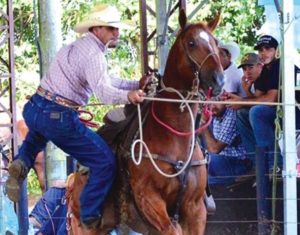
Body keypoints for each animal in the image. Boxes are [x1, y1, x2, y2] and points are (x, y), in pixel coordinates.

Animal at [66, 9, 225, 235]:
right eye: (192, 43)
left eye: (215, 42)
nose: (218, 80)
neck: (174, 138)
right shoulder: (149, 200)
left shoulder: (195, 209)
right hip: (84, 227)